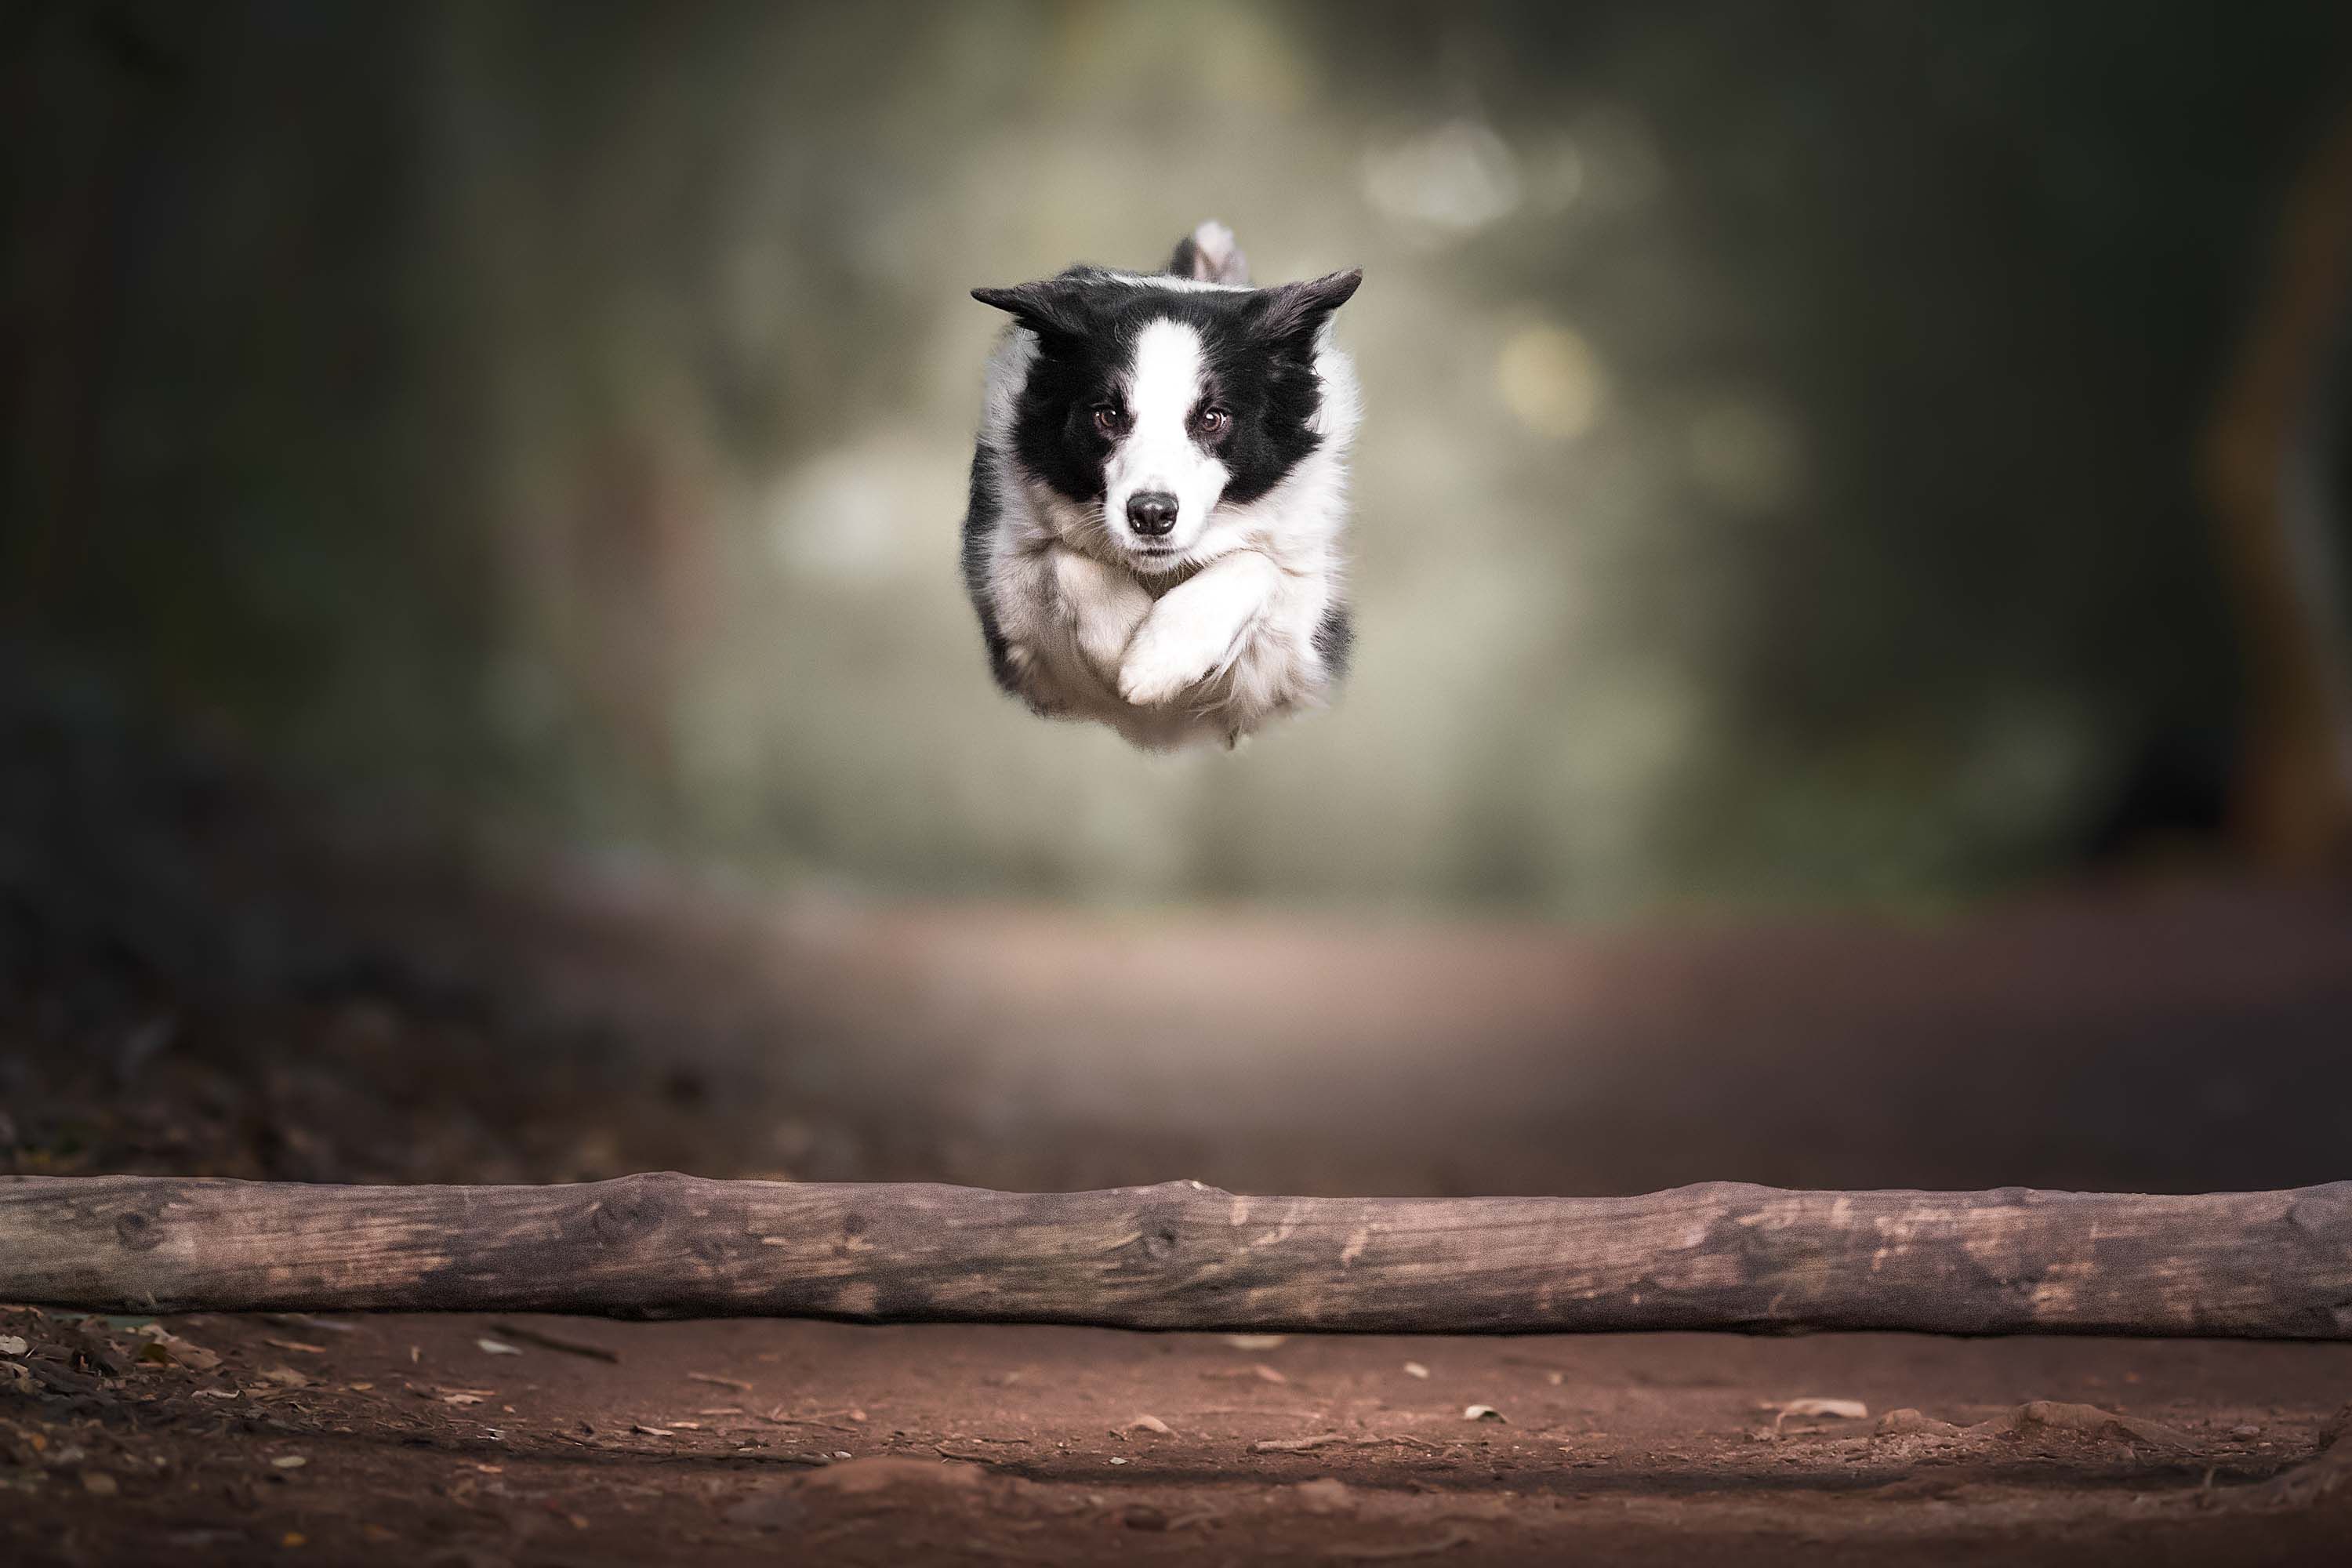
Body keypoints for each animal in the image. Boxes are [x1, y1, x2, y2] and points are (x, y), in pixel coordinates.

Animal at [955, 222, 1364, 752]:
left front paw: (1158, 659)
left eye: (1213, 418)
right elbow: (1061, 555)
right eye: (1107, 415)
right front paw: (1122, 648)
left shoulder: (1303, 635)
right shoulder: (1003, 575)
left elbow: (1257, 562)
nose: (1151, 515)